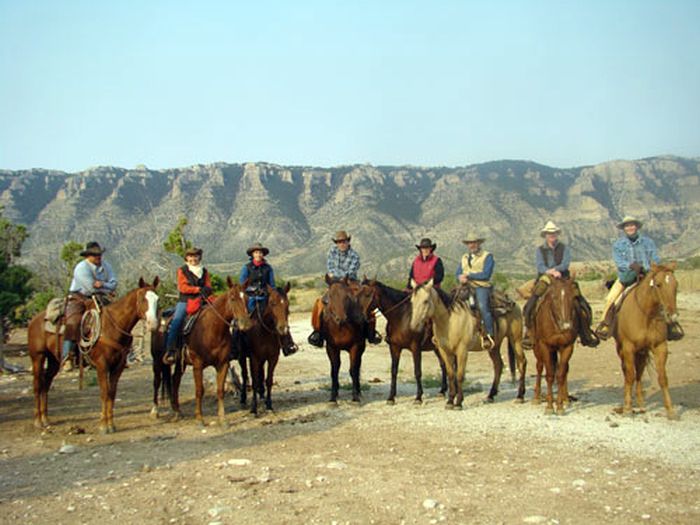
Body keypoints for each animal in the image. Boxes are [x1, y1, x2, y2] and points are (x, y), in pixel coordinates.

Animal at [28, 276, 160, 432]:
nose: (153, 324)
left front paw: (111, 424)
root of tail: (35, 319)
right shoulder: (102, 365)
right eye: (142, 299)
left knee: (46, 384)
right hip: (38, 357)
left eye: (157, 299)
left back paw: (45, 419)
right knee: (37, 385)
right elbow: (104, 393)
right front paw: (103, 425)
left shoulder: (118, 366)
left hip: (54, 360)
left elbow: (112, 394)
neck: (112, 326)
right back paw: (37, 421)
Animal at [239, 282, 294, 414]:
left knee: (260, 373)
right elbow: (253, 381)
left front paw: (269, 404)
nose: (282, 328)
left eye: (287, 303)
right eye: (273, 303)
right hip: (242, 357)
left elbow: (269, 380)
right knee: (244, 374)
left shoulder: (273, 358)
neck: (264, 332)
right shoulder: (254, 358)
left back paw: (262, 395)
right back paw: (243, 398)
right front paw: (254, 407)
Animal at [408, 278, 478, 410]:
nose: (414, 326)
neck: (450, 321)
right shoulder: (445, 351)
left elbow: (459, 375)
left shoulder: (462, 351)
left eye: (425, 301)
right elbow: (451, 374)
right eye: (412, 301)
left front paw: (458, 402)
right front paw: (450, 401)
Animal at [532, 276, 576, 416]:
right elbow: (550, 375)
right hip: (537, 349)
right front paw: (550, 407)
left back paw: (565, 399)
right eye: (554, 297)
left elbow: (561, 375)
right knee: (540, 368)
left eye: (573, 297)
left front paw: (560, 406)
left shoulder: (567, 347)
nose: (566, 326)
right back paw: (536, 397)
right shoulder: (545, 346)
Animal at [616, 264, 680, 420]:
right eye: (658, 284)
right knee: (628, 372)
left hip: (642, 352)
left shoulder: (660, 347)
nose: (672, 316)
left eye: (676, 285)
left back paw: (641, 403)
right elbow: (629, 376)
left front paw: (670, 410)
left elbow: (663, 378)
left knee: (639, 373)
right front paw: (627, 408)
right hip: (622, 350)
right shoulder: (628, 348)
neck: (646, 316)